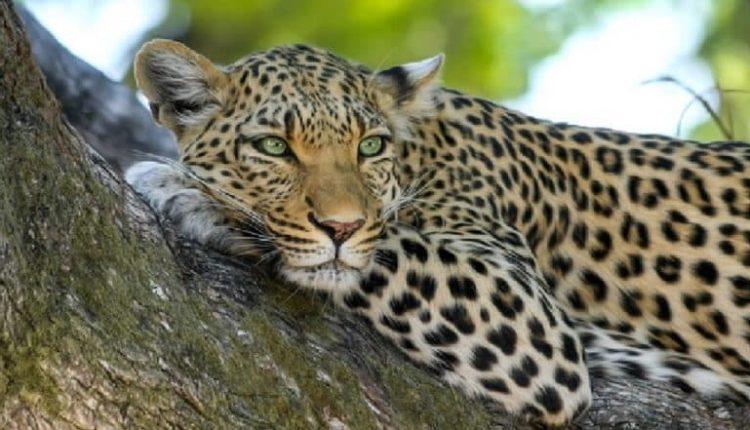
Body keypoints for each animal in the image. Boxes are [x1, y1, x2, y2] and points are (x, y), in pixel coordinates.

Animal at [125, 39, 750, 426]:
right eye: (274, 147)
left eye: (370, 146)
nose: (341, 226)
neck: (421, 152)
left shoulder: (529, 317)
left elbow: (387, 248)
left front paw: (188, 191)